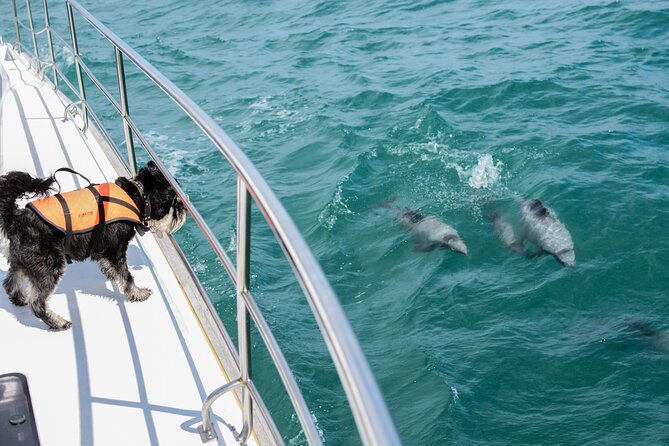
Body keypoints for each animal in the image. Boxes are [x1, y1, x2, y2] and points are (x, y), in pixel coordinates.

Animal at [0, 162, 185, 330]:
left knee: (11, 281)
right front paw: (137, 293)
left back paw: (18, 298)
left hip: (24, 261)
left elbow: (111, 267)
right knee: (37, 303)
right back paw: (58, 322)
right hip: (49, 266)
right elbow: (127, 275)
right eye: (175, 202)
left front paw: (112, 275)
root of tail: (14, 219)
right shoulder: (116, 250)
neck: (136, 197)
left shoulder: (105, 250)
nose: (183, 212)